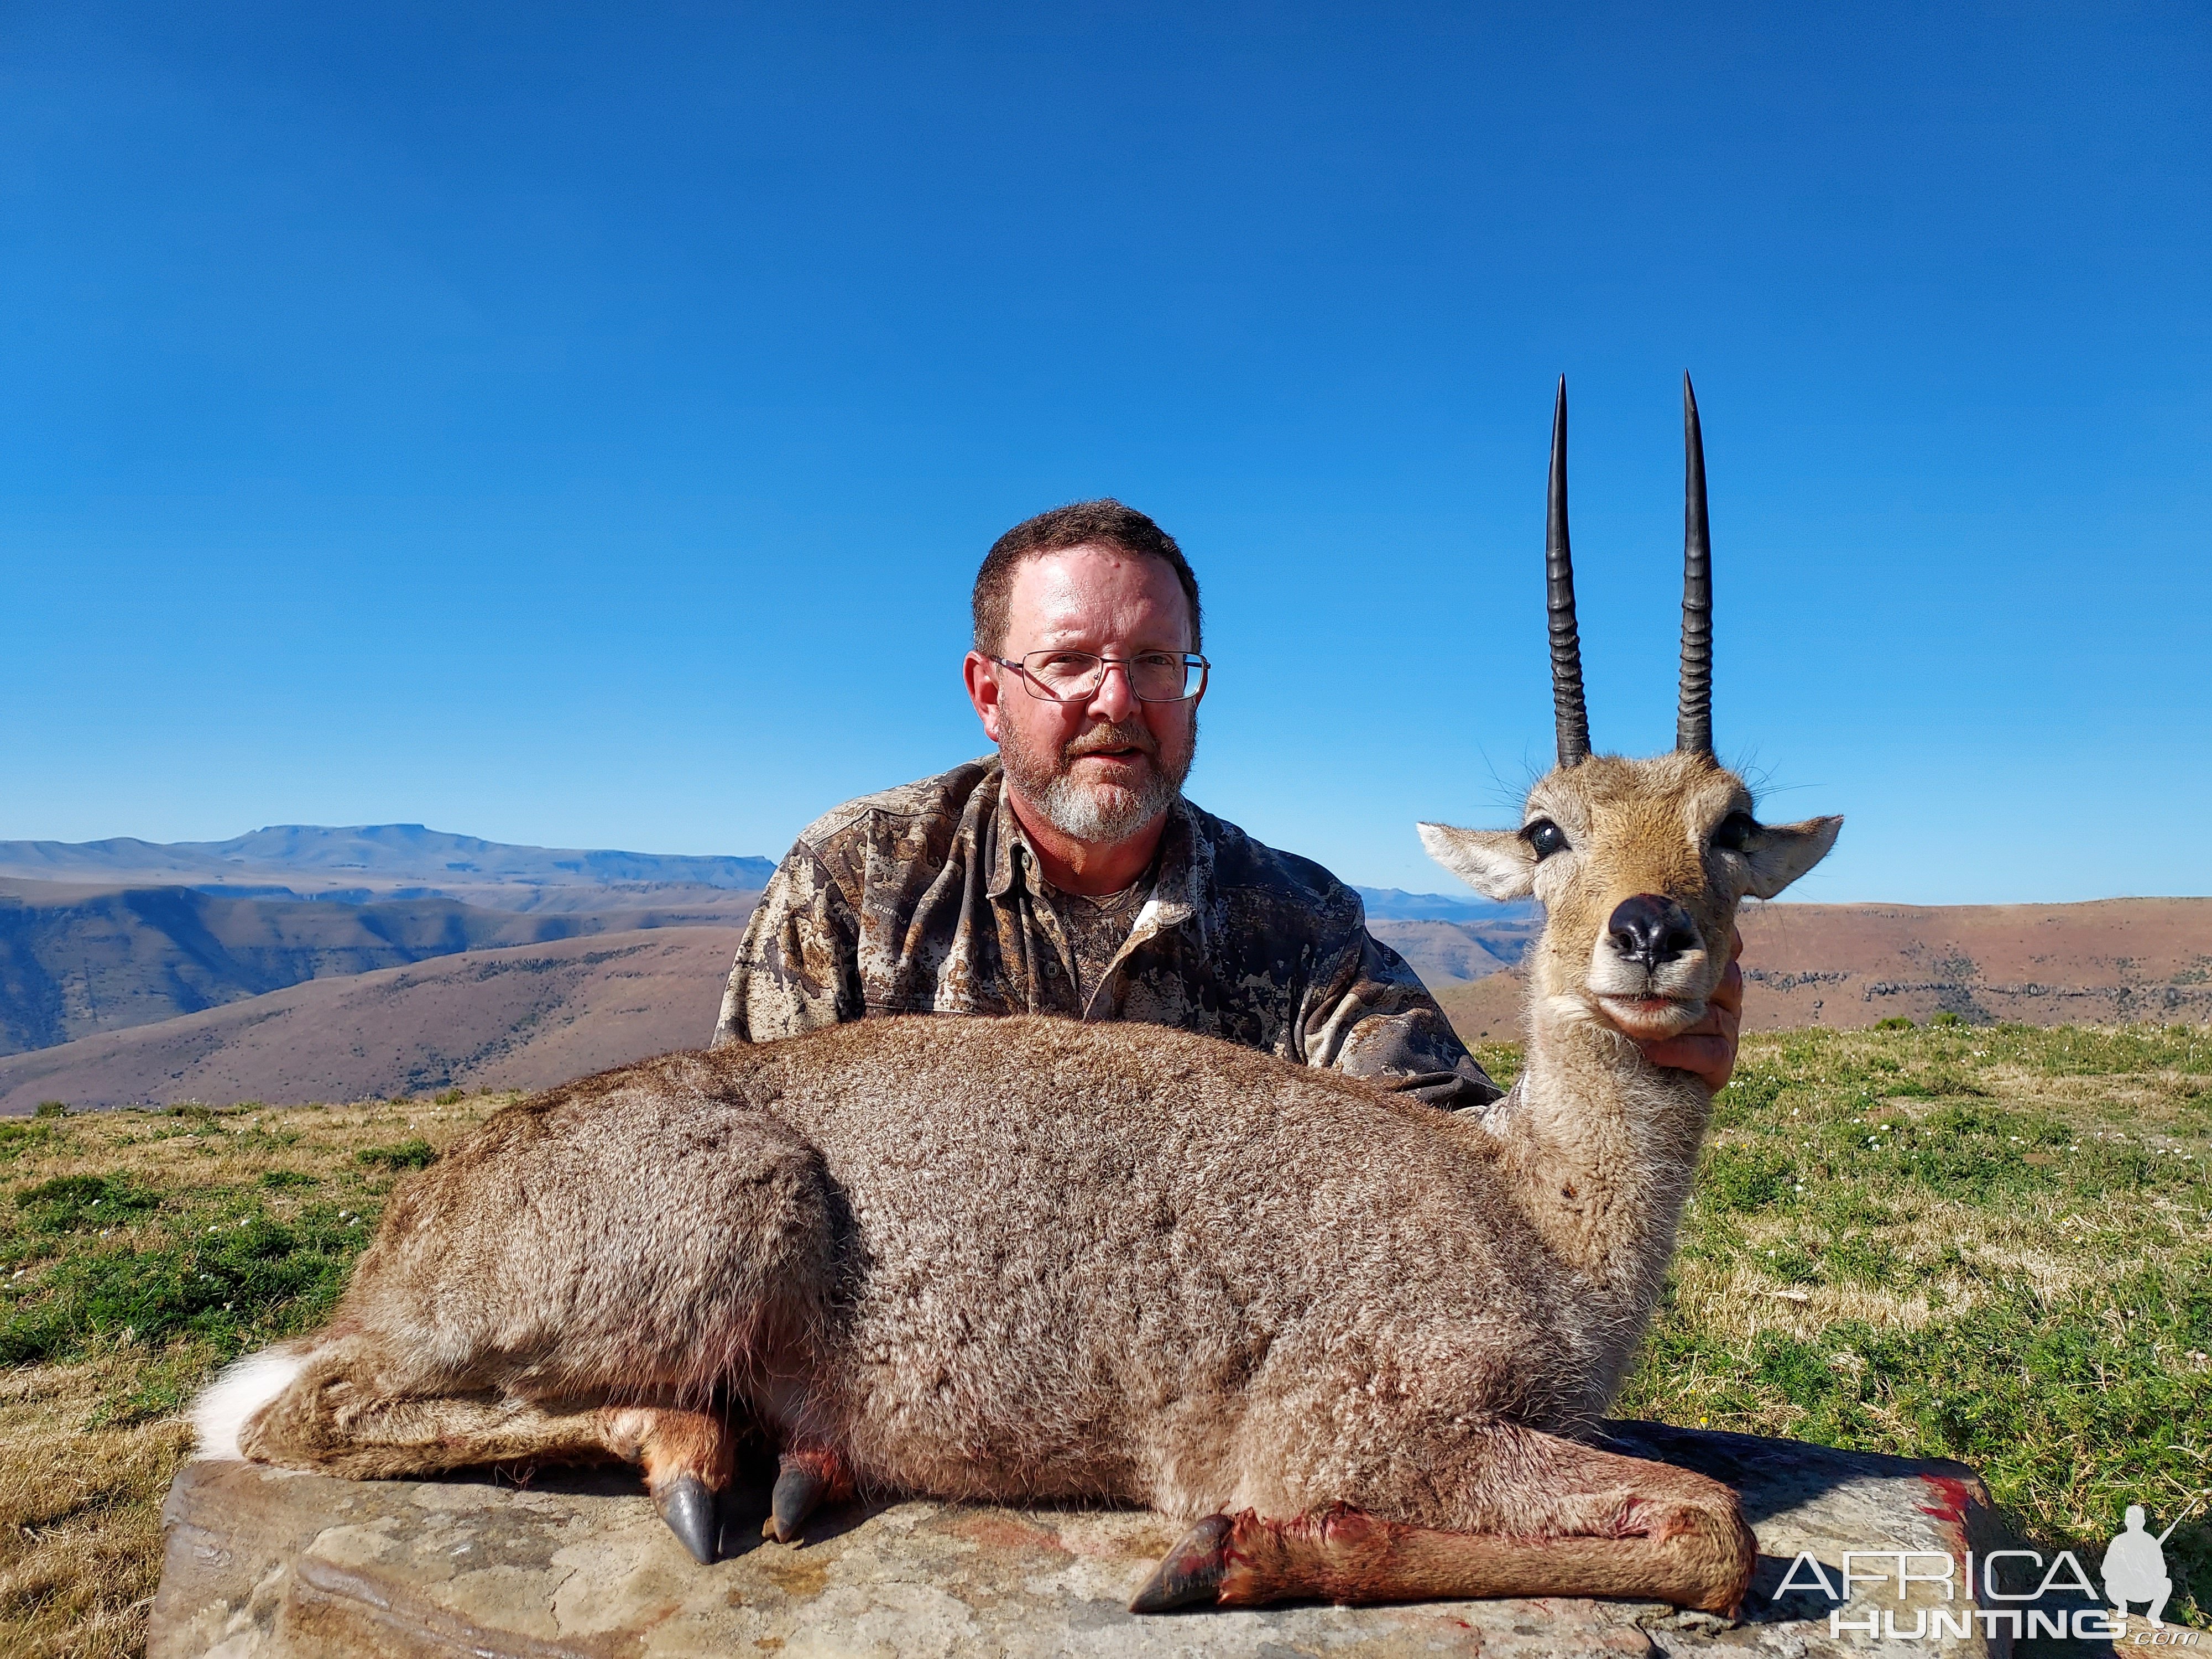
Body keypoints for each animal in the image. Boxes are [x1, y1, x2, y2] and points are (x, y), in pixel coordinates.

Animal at [199, 380, 1840, 1628]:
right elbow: (1715, 1526)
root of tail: (412, 1234)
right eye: (1548, 828)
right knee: (292, 1411)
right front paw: (1229, 1556)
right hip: (712, 1223)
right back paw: (692, 1453)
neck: (1537, 1209)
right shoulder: (1355, 1419)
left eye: (1732, 823)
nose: (1649, 933)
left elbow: (1711, 1525)